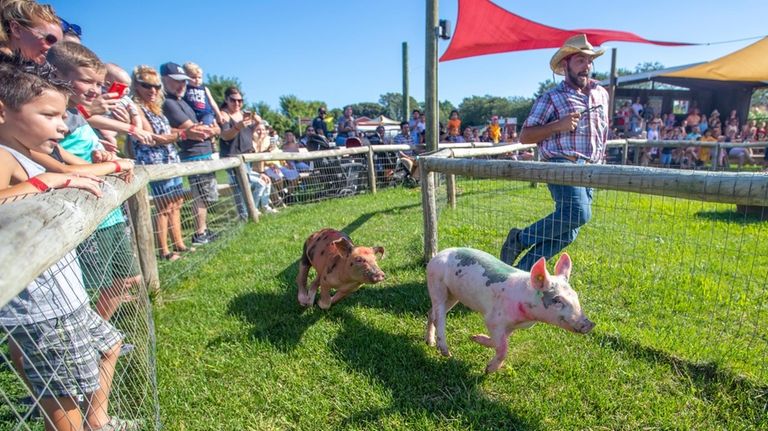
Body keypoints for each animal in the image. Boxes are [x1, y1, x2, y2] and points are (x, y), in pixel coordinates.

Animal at [426, 248, 592, 372]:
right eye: (557, 300)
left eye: (575, 296)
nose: (589, 324)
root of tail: (437, 255)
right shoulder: (493, 319)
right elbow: (504, 347)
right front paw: (487, 370)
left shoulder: (512, 326)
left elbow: (499, 342)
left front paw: (474, 337)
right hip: (437, 283)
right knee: (439, 315)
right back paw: (446, 353)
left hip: (453, 295)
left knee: (431, 313)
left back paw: (430, 343)